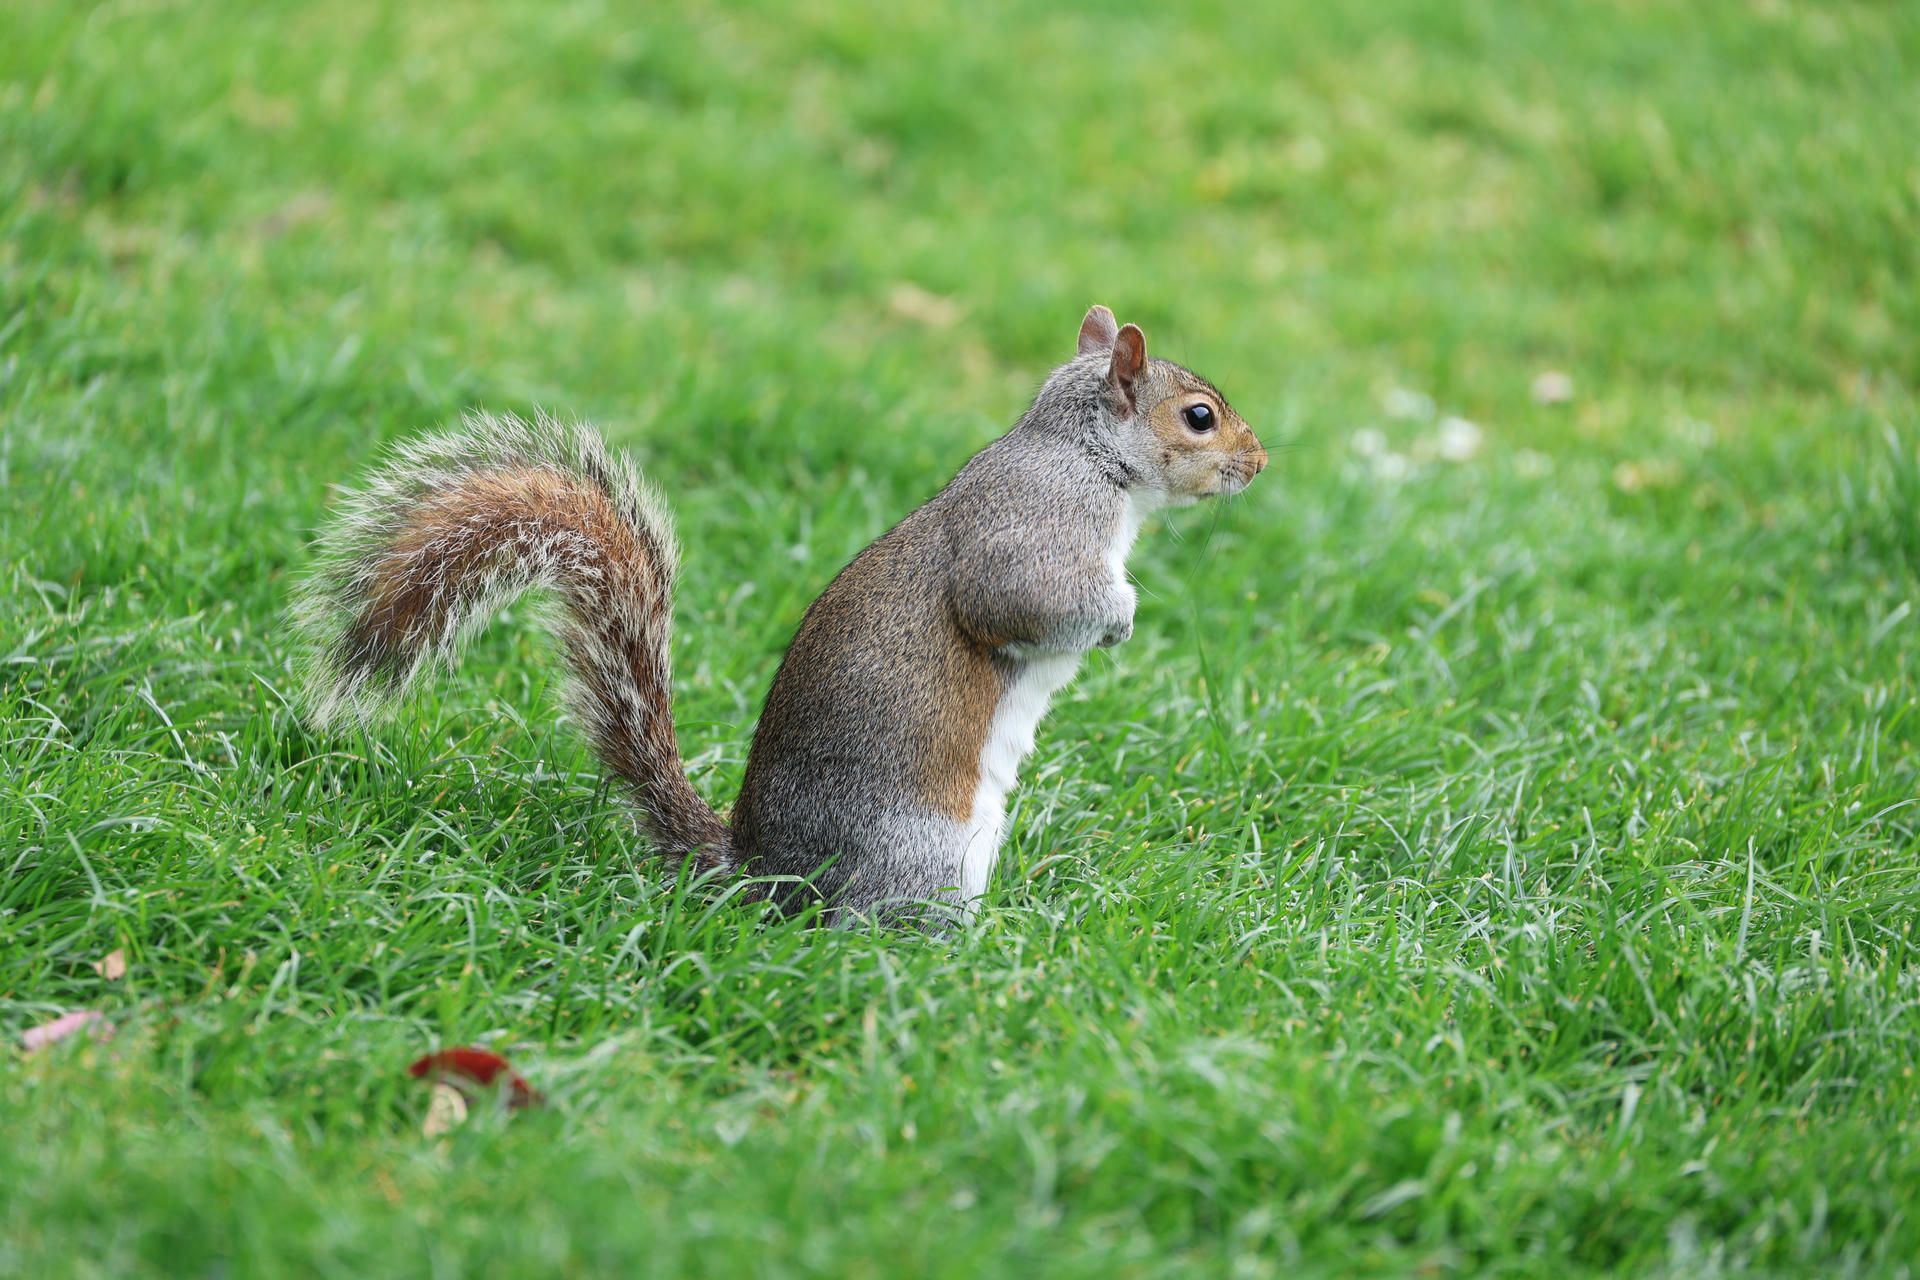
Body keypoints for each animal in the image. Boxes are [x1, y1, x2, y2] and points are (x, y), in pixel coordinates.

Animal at [293, 305, 1265, 923]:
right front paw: (1121, 615)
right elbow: (1023, 599)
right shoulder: (1040, 526)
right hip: (924, 855)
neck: (1085, 452)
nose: (1259, 463)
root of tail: (762, 877)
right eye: (1199, 416)